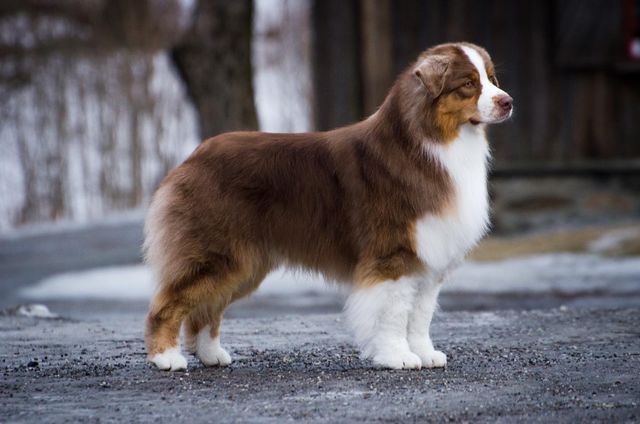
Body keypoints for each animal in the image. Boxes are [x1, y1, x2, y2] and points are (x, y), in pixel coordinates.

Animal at [142, 41, 512, 370]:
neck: (430, 143)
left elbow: (420, 313)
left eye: (492, 78)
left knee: (206, 310)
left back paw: (211, 354)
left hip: (243, 265)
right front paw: (397, 356)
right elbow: (393, 312)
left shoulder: (429, 256)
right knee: (168, 304)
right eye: (468, 84)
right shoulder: (393, 255)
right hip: (215, 254)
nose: (507, 101)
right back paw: (166, 358)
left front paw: (424, 353)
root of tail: (192, 157)